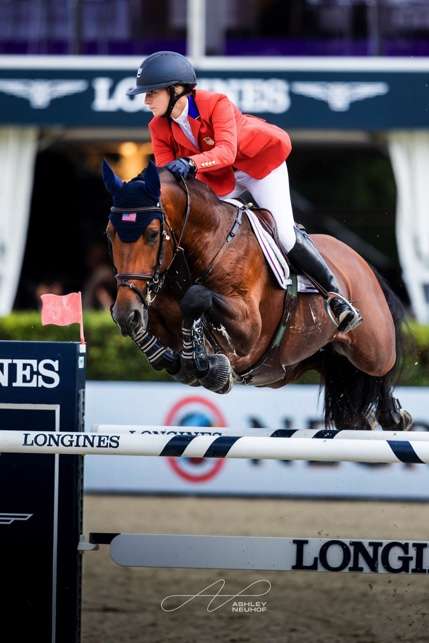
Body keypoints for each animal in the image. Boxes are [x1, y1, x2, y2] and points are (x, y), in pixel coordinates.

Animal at [102, 160, 410, 432]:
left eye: (153, 234)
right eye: (109, 234)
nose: (125, 312)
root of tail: (362, 263)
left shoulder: (249, 329)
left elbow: (196, 297)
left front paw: (207, 365)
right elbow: (157, 335)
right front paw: (174, 356)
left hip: (372, 348)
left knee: (383, 367)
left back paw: (394, 415)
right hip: (309, 361)